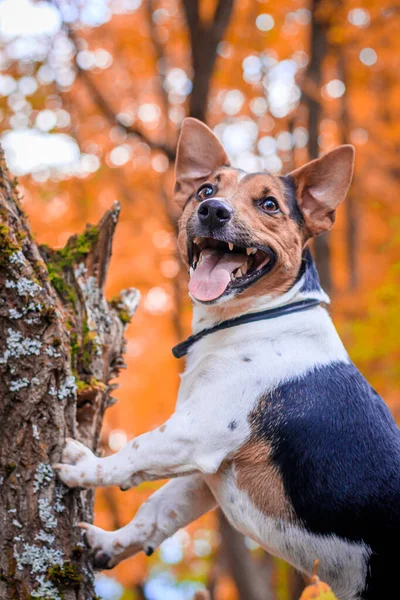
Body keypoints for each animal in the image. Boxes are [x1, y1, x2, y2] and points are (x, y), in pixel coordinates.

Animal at [55, 118, 400, 600]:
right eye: (205, 190)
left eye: (269, 204)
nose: (213, 211)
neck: (250, 319)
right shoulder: (208, 470)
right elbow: (156, 511)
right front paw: (109, 543)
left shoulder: (200, 429)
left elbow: (135, 450)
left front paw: (85, 466)